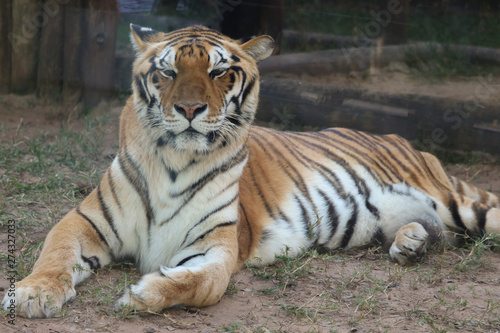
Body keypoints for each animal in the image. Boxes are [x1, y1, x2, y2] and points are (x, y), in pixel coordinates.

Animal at [3, 24, 500, 316]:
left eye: (219, 72)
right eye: (167, 73)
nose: (189, 109)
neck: (174, 162)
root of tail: (400, 138)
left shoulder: (217, 244)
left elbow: (204, 284)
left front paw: (143, 293)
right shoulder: (83, 221)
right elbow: (54, 254)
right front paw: (32, 294)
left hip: (464, 205)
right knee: (429, 231)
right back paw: (410, 244)